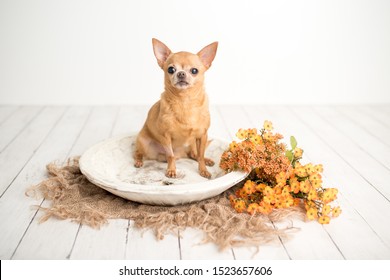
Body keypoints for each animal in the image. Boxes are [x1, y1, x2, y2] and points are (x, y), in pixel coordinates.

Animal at [134, 38, 219, 178]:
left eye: (194, 71)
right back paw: (138, 161)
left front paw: (203, 170)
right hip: (144, 142)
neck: (185, 102)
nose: (181, 73)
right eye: (171, 69)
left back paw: (206, 160)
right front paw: (171, 170)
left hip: (192, 143)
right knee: (138, 152)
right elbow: (170, 156)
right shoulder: (166, 137)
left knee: (194, 154)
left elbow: (200, 155)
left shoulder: (202, 135)